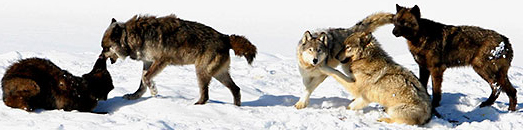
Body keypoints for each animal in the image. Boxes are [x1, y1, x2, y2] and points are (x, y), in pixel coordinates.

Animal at [100, 14, 256, 106]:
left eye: (105, 48)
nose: (100, 57)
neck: (133, 36)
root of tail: (225, 37)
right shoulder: (147, 62)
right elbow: (142, 82)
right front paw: (134, 96)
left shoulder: (161, 61)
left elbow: (146, 78)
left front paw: (154, 92)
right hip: (218, 74)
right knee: (236, 89)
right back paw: (236, 108)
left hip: (201, 72)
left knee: (206, 95)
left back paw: (196, 105)